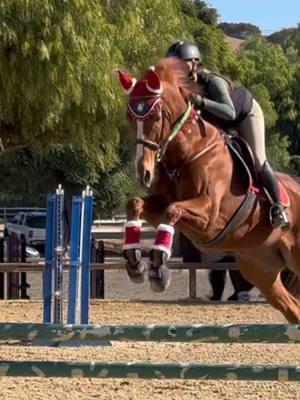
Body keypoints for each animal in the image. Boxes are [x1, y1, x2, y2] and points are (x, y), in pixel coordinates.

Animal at [118, 57, 300, 324]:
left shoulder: (210, 216)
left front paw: (159, 269)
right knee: (292, 307)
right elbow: (136, 204)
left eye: (157, 117)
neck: (186, 155)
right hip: (261, 268)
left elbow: (173, 211)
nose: (144, 173)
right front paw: (135, 264)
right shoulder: (161, 203)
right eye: (130, 117)